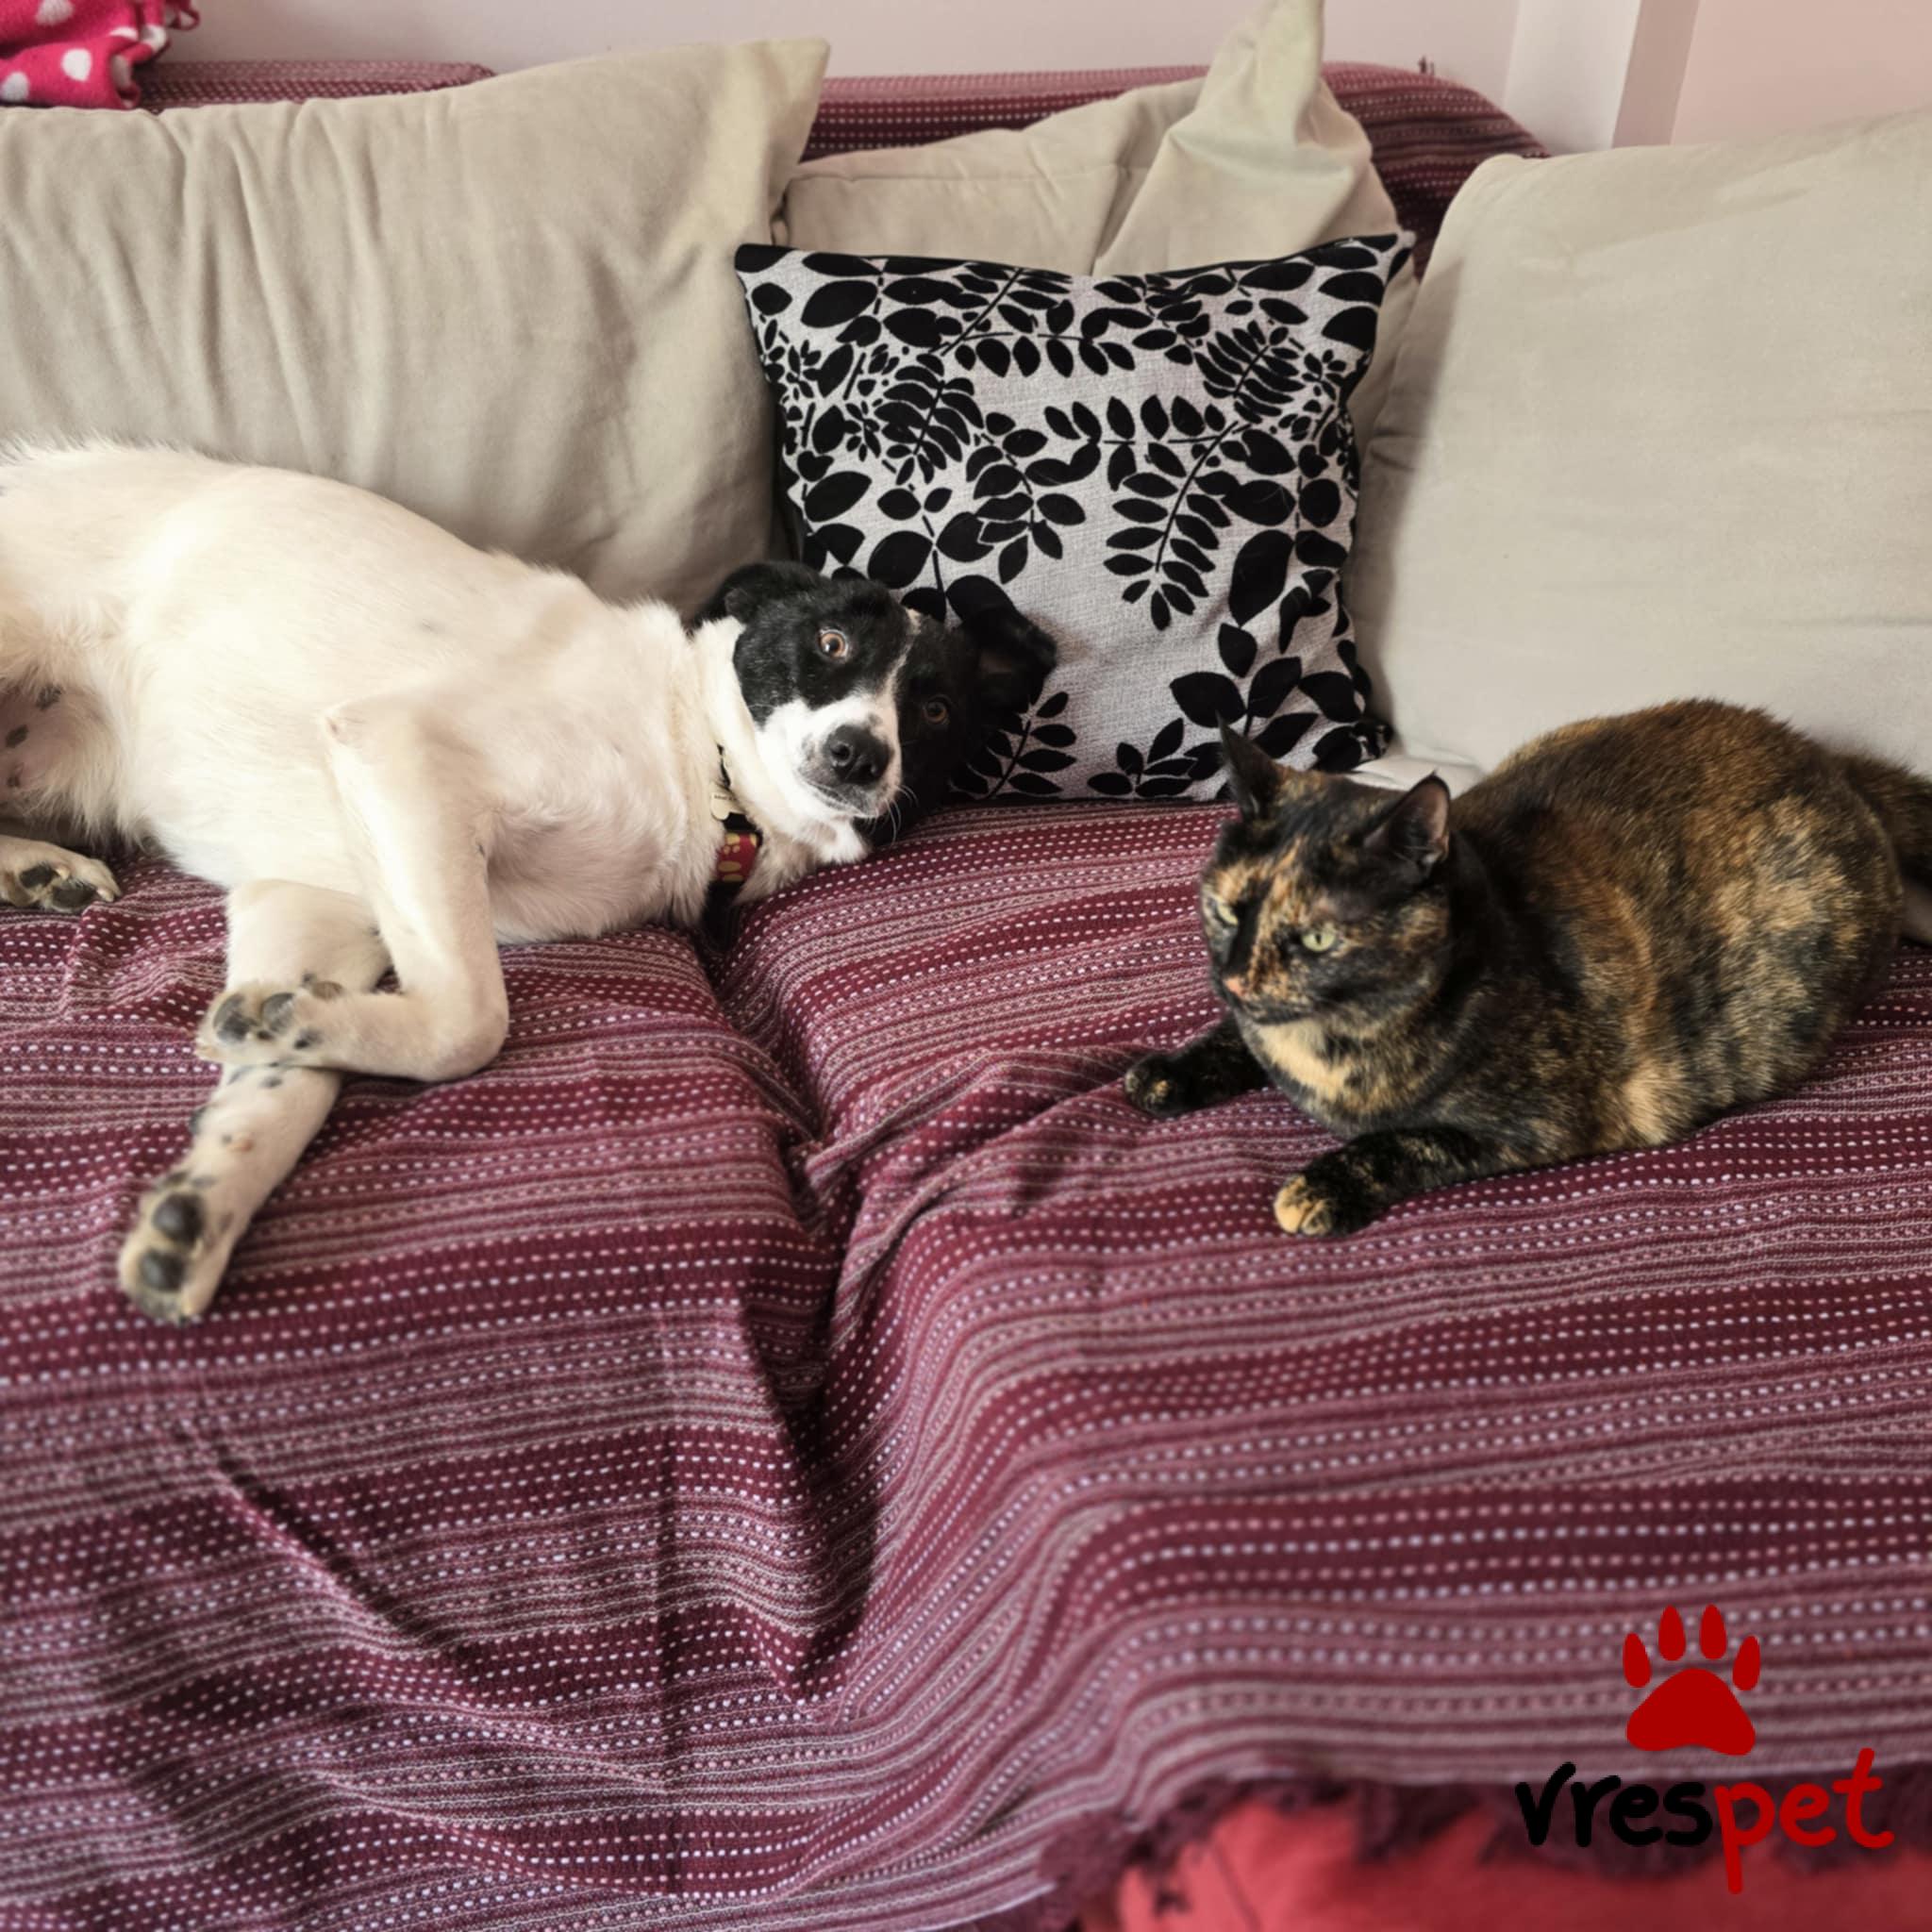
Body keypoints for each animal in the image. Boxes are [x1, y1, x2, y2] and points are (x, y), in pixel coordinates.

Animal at [0, 444, 1053, 1323]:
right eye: (832, 645)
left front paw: (207, 1194)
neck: (703, 767)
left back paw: (44, 872)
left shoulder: (309, 897)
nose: (859, 754)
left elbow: (282, 1086)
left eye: (934, 707)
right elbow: (473, 1020)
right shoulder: (402, 749)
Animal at [1125, 701, 1932, 1237]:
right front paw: (1168, 1070)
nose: (1235, 980)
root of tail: (1832, 761)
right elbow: (1233, 1039)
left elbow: (1406, 1140)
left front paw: (1319, 1187)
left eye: (1318, 939)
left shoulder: (1543, 1123)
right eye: (1226, 911)